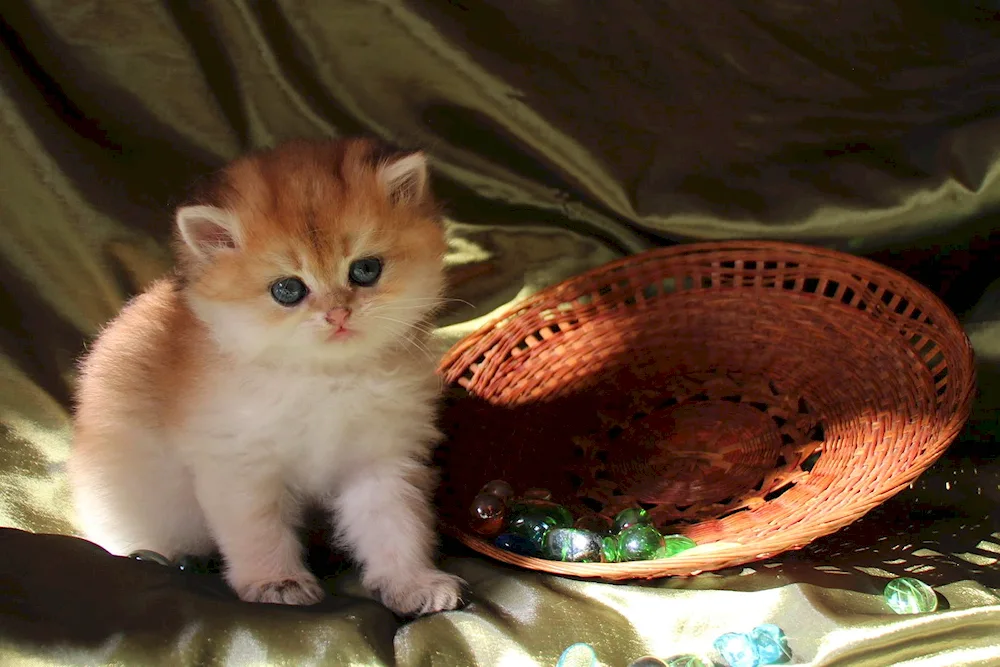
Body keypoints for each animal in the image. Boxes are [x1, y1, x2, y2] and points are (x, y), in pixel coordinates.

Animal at [66, 137, 464, 616]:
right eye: (288, 290)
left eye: (366, 270)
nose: (338, 313)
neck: (326, 378)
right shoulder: (239, 465)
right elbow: (259, 532)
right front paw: (277, 583)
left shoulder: (382, 459)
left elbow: (395, 526)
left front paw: (412, 583)